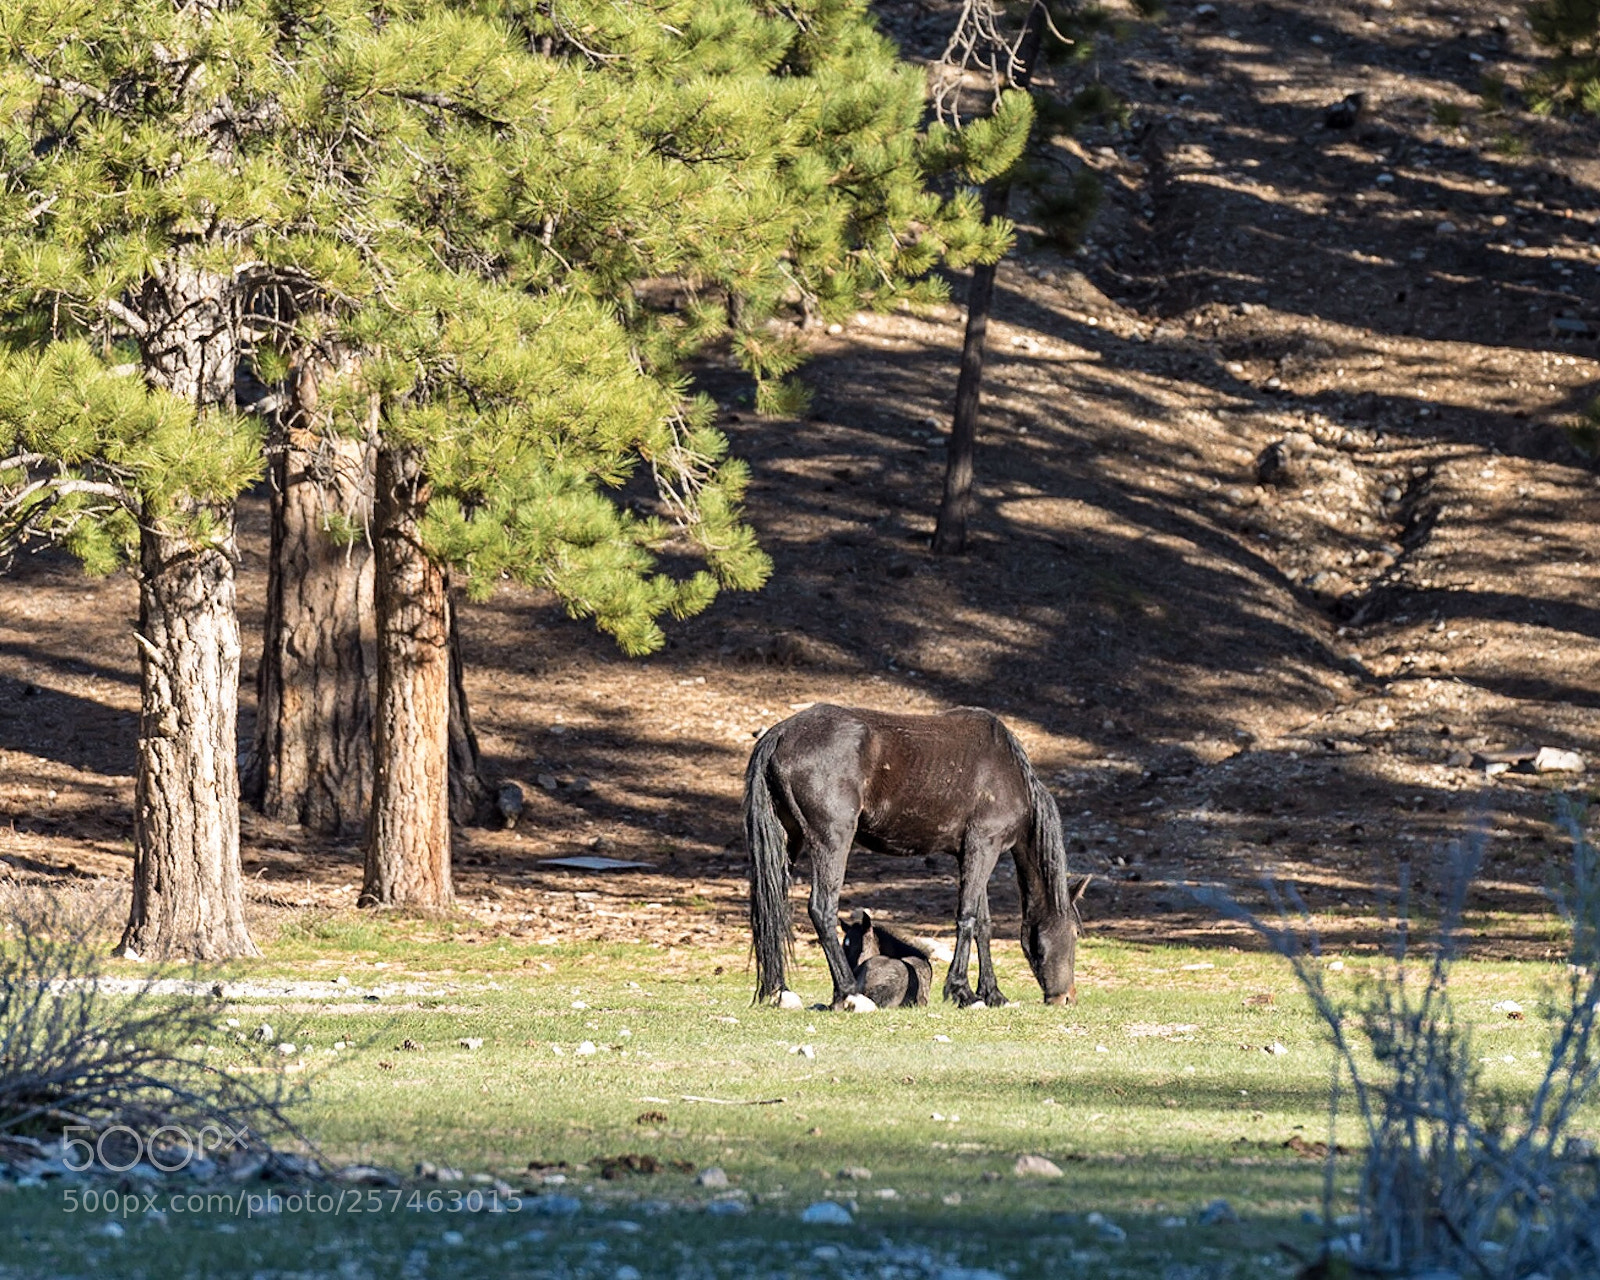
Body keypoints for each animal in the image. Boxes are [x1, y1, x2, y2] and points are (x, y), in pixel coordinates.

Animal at [744, 703, 1088, 1009]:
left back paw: (782, 992)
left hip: (790, 840)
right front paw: (963, 992)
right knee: (822, 909)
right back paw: (850, 993)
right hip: (832, 840)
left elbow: (983, 923)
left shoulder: (971, 852)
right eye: (1074, 932)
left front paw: (992, 994)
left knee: (775, 909)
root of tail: (780, 733)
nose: (1066, 998)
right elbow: (967, 917)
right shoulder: (983, 846)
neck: (1008, 772)